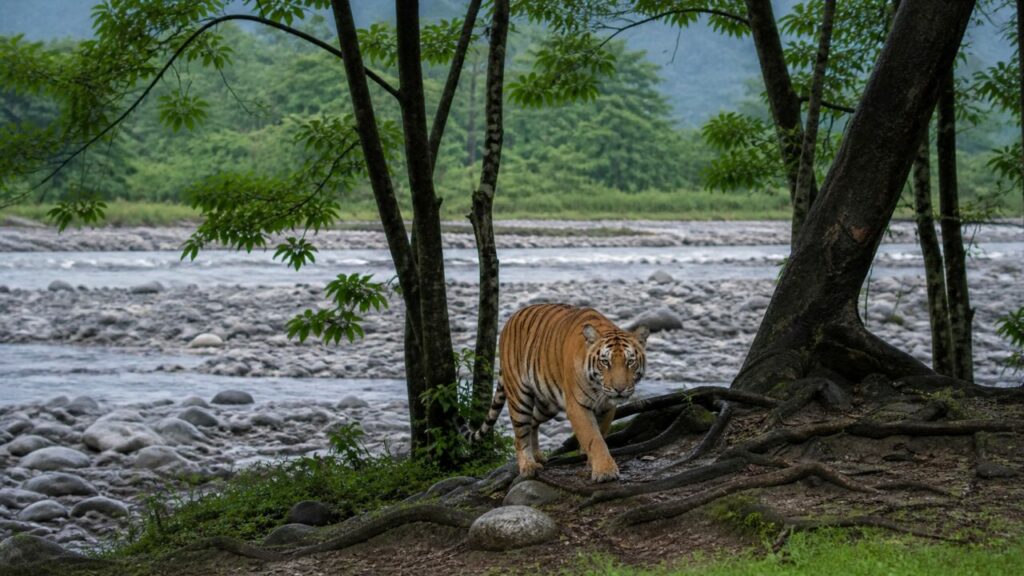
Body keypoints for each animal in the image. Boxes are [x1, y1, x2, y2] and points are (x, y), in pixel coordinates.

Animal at [473, 303, 650, 482]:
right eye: (605, 362)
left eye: (630, 361)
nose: (619, 389)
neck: (598, 388)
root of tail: (509, 321)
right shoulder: (577, 406)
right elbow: (594, 438)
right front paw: (605, 471)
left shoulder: (607, 407)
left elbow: (600, 433)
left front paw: (591, 463)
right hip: (519, 397)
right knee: (520, 435)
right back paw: (528, 466)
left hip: (547, 405)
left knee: (533, 422)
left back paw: (537, 456)